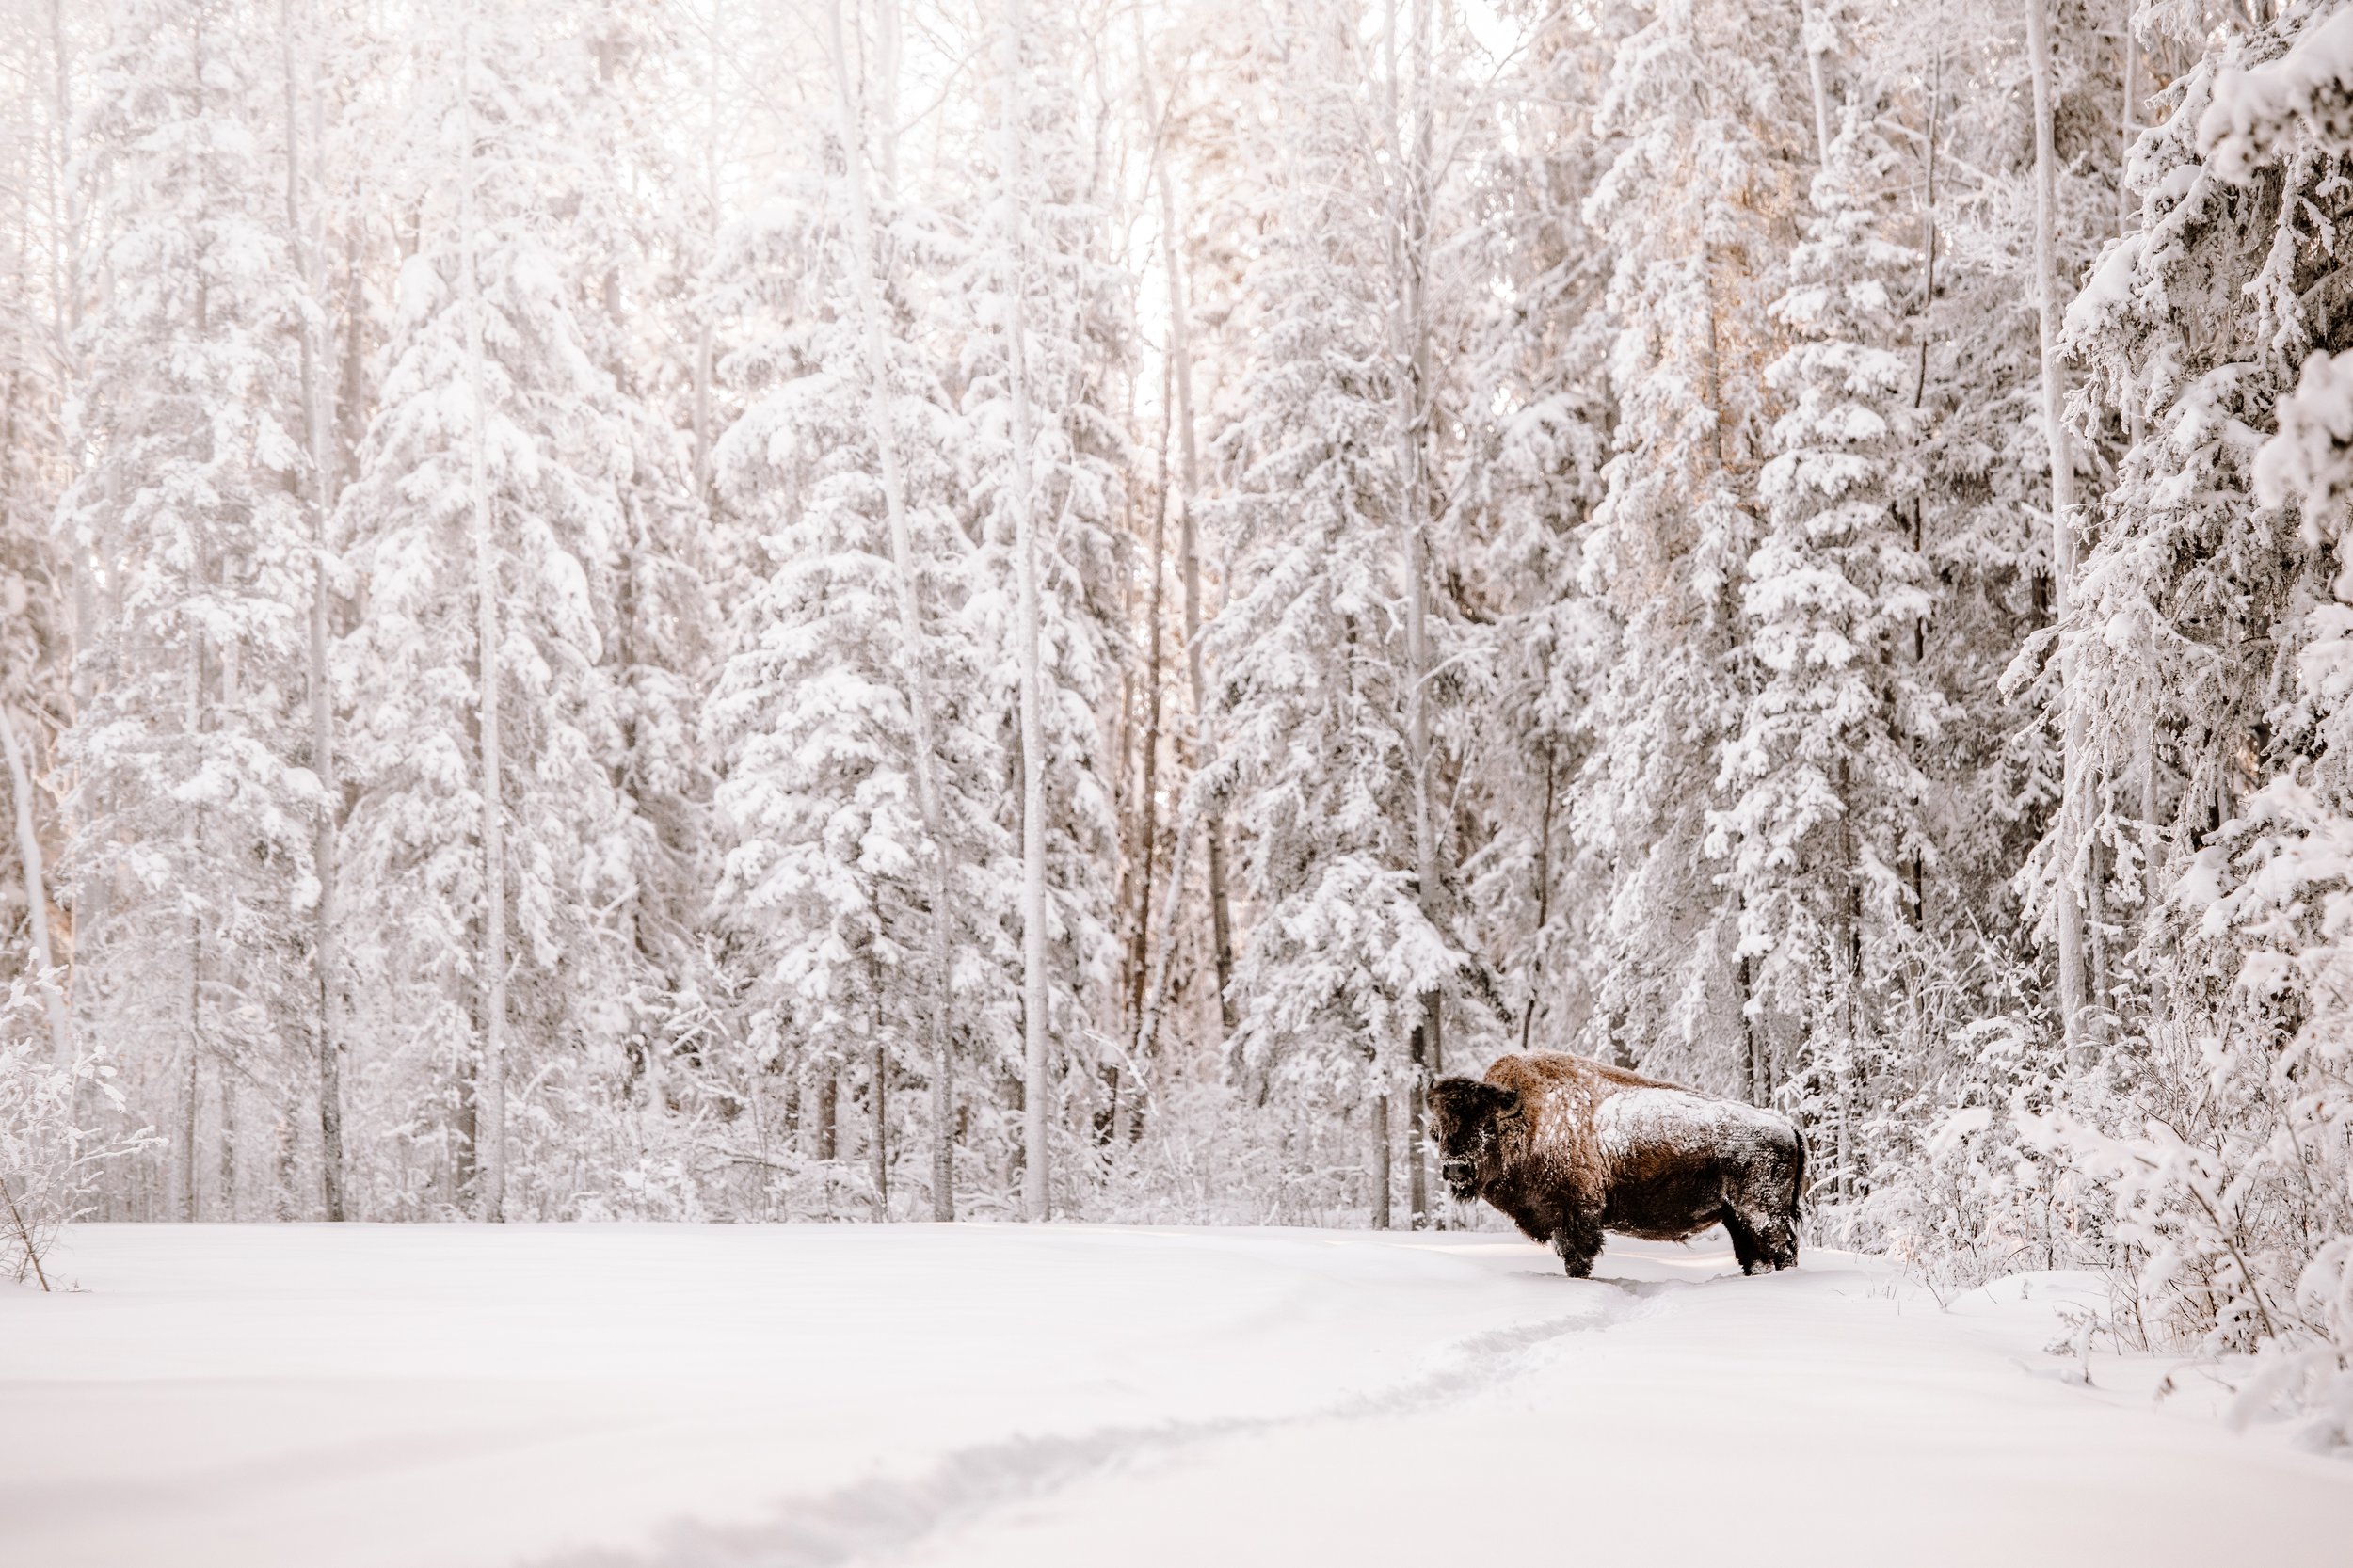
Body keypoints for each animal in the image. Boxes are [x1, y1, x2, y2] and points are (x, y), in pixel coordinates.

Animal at [1430, 1051, 1805, 1277]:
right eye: (1438, 1129)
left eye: (1488, 1125)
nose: (1456, 1168)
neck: (1531, 1121)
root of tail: (1786, 1125)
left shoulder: (1575, 1216)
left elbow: (1577, 1258)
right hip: (1735, 1218)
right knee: (1756, 1256)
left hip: (1761, 1214)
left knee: (1782, 1250)